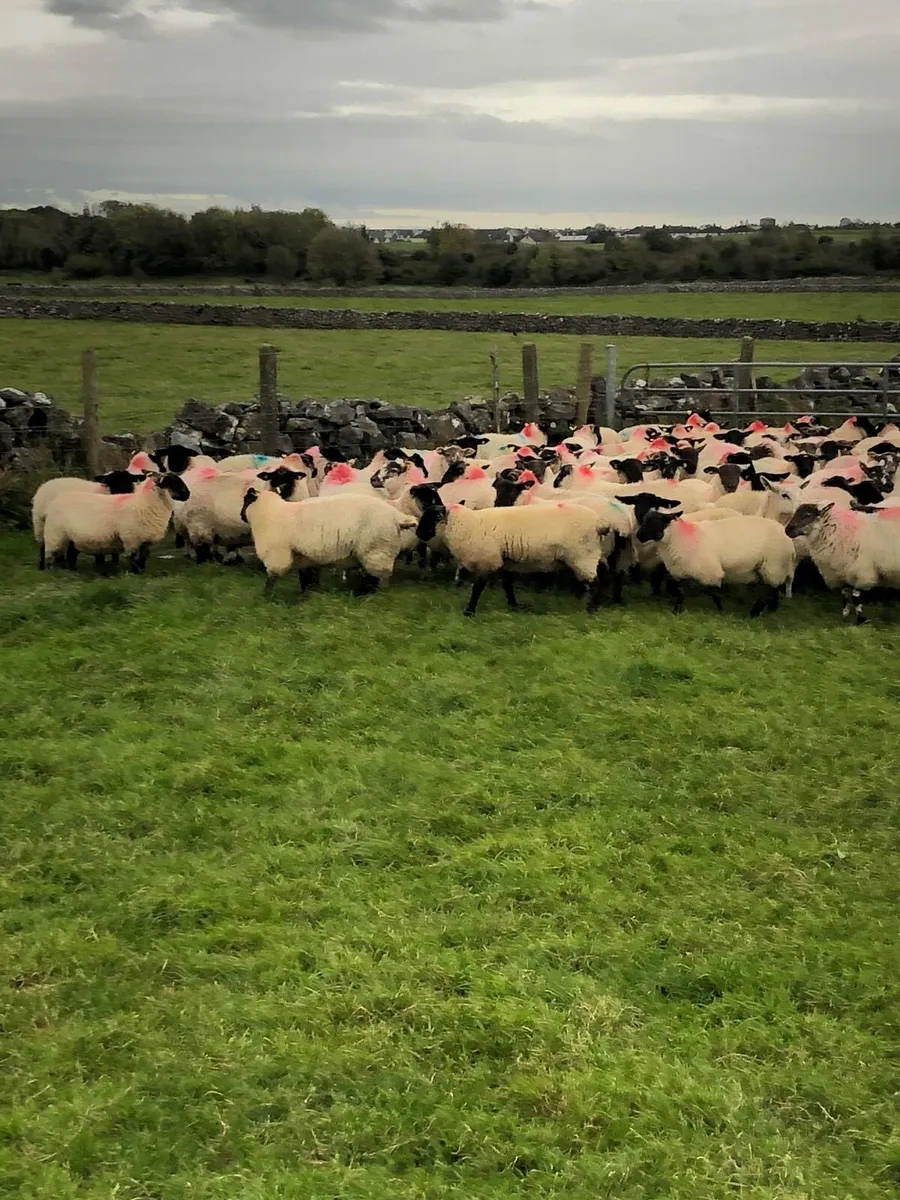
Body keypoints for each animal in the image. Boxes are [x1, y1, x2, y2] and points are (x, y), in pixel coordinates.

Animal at [42, 474, 191, 574]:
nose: (188, 494)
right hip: (55, 535)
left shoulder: (145, 540)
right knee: (50, 555)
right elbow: (134, 557)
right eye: (172, 482)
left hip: (72, 537)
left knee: (71, 553)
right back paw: (51, 571)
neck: (145, 504)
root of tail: (57, 500)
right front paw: (135, 572)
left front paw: (142, 571)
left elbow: (143, 557)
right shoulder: (131, 538)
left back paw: (73, 569)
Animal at [239, 487, 417, 596]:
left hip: (376, 550)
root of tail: (397, 516)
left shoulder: (277, 556)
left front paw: (266, 596)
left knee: (374, 578)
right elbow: (307, 578)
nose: (241, 515)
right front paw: (309, 594)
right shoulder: (304, 558)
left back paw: (364, 597)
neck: (270, 513)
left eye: (246, 500)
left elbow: (272, 578)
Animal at [411, 485, 612, 616]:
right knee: (601, 574)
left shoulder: (488, 561)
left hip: (582, 556)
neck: (468, 524)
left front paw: (469, 611)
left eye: (431, 518)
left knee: (595, 581)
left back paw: (591, 610)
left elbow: (477, 588)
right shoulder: (503, 562)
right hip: (593, 554)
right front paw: (514, 606)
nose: (418, 533)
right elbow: (507, 585)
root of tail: (600, 524)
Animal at [635, 510, 795, 616]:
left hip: (774, 565)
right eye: (644, 520)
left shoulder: (709, 571)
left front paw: (720, 609)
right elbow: (676, 589)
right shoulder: (680, 571)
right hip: (768, 568)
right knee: (774, 588)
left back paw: (755, 612)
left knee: (769, 591)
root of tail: (789, 540)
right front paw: (677, 609)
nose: (639, 536)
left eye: (655, 522)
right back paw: (771, 608)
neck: (678, 538)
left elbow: (713, 591)